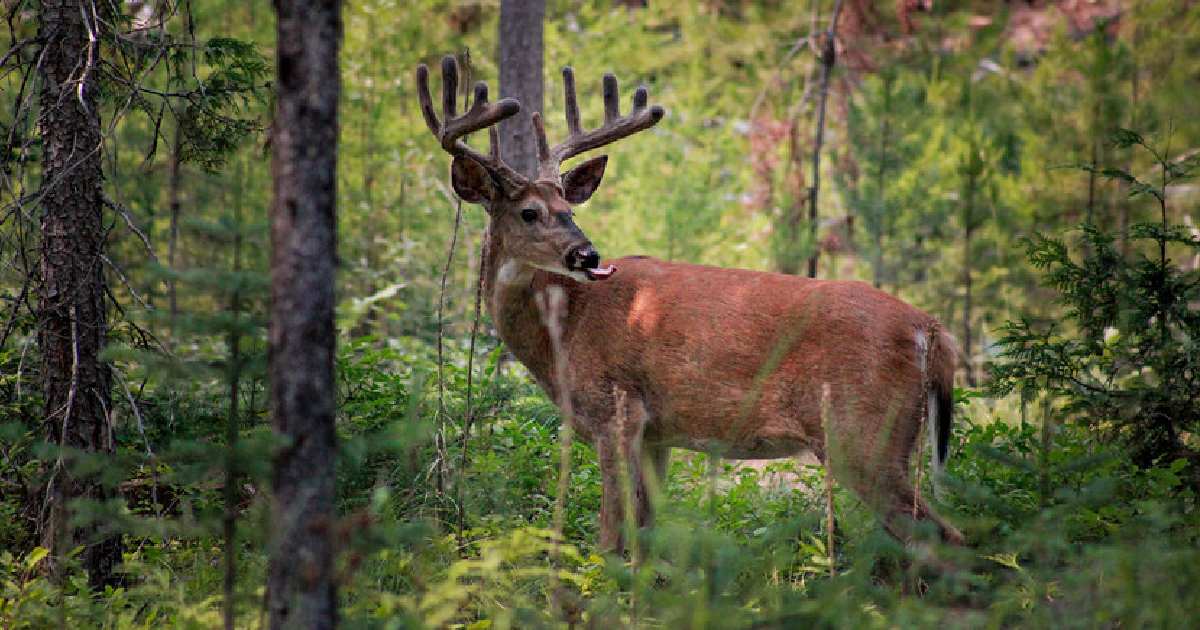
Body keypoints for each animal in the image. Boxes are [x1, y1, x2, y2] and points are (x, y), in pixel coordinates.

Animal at [417, 56, 960, 552]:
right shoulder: (657, 433)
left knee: (945, 539)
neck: (563, 331)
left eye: (568, 209)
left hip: (861, 433)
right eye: (529, 212)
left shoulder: (615, 410)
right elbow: (645, 537)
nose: (588, 254)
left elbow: (609, 538)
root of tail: (931, 330)